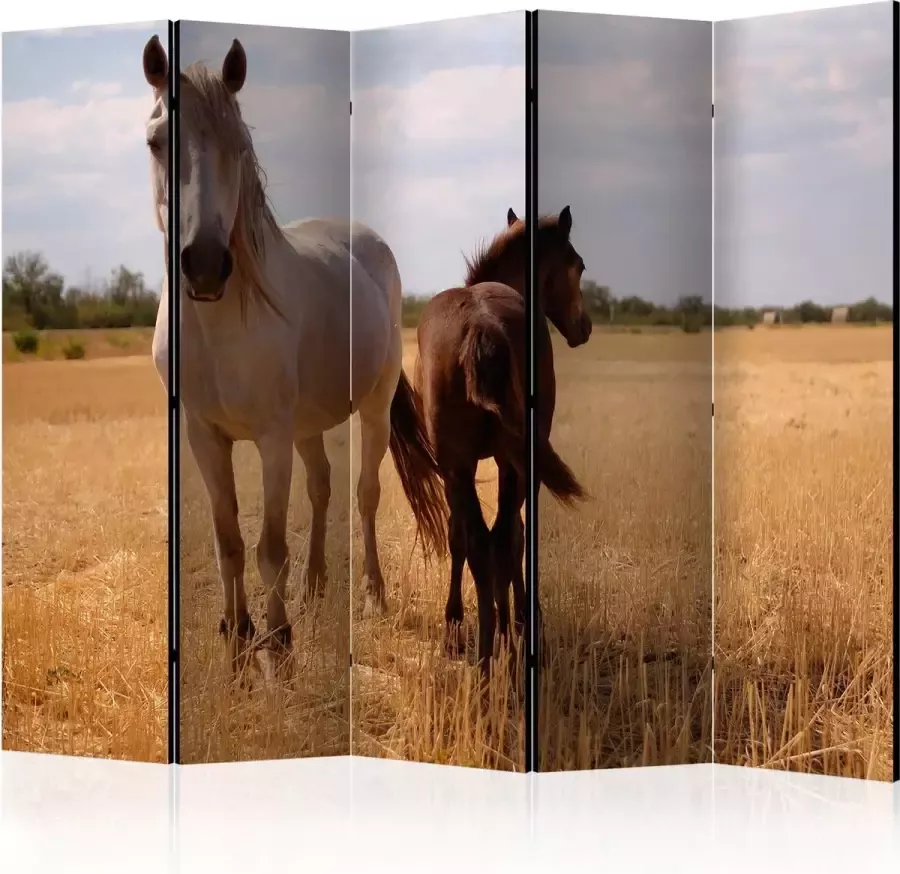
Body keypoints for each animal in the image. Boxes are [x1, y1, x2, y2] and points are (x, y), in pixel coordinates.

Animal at [141, 35, 447, 675]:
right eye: (158, 142)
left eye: (239, 144)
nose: (204, 265)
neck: (219, 326)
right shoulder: (203, 436)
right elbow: (229, 541)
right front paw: (237, 634)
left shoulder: (272, 437)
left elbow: (269, 547)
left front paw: (278, 643)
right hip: (308, 424)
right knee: (323, 487)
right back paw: (315, 585)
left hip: (372, 407)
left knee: (364, 494)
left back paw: (372, 593)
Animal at [413, 206, 592, 672]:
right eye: (579, 264)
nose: (584, 327)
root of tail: (482, 324)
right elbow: (513, 537)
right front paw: (523, 618)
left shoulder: (464, 466)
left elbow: (468, 537)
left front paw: (464, 624)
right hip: (504, 464)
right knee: (500, 537)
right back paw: (498, 642)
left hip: (461, 466)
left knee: (482, 541)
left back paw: (484, 655)